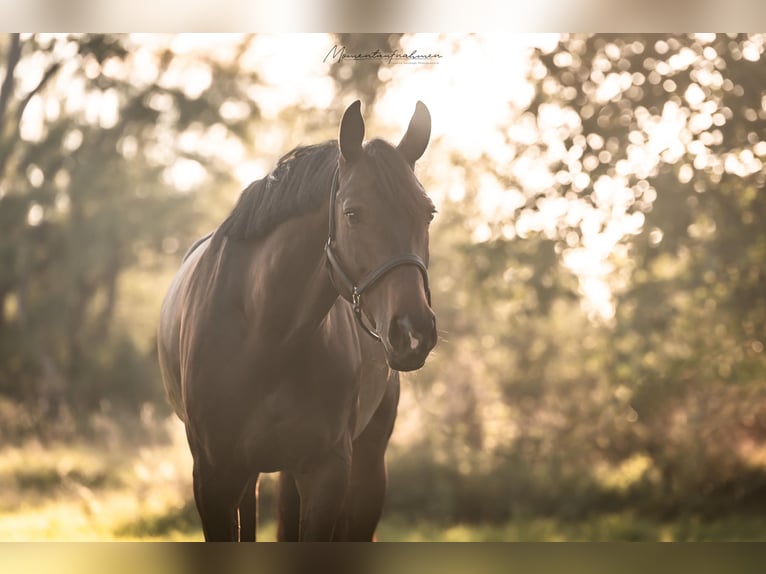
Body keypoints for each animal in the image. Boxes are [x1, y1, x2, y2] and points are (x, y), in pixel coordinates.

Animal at [159, 101, 438, 544]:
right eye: (352, 214)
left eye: (428, 213)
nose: (412, 332)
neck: (266, 335)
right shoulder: (214, 476)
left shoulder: (327, 473)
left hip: (365, 464)